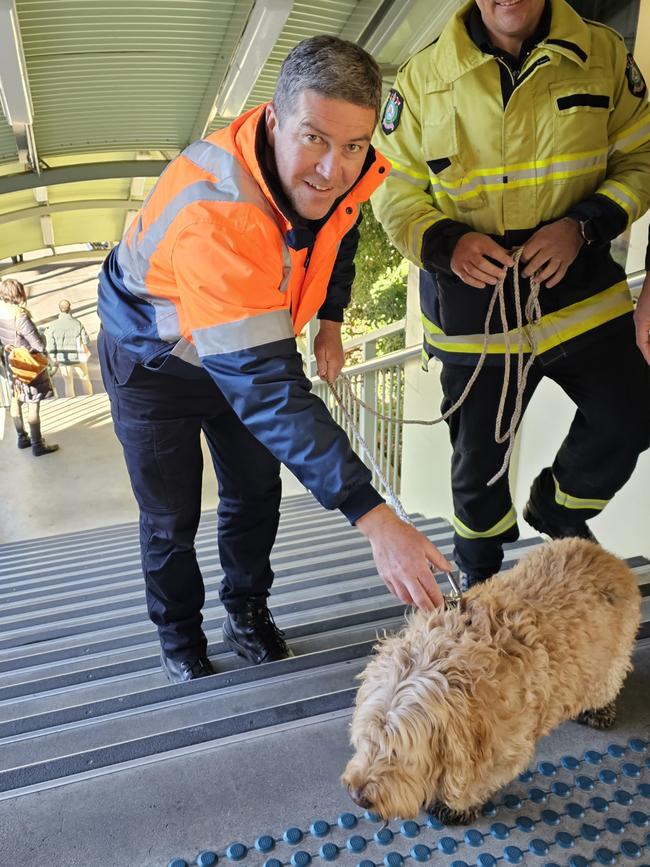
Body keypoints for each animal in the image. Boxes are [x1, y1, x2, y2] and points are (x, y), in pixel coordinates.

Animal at [342, 540, 640, 824]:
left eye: (399, 751)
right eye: (366, 738)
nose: (358, 797)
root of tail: (606, 555)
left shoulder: (503, 747)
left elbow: (476, 781)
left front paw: (455, 806)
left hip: (613, 655)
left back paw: (599, 710)